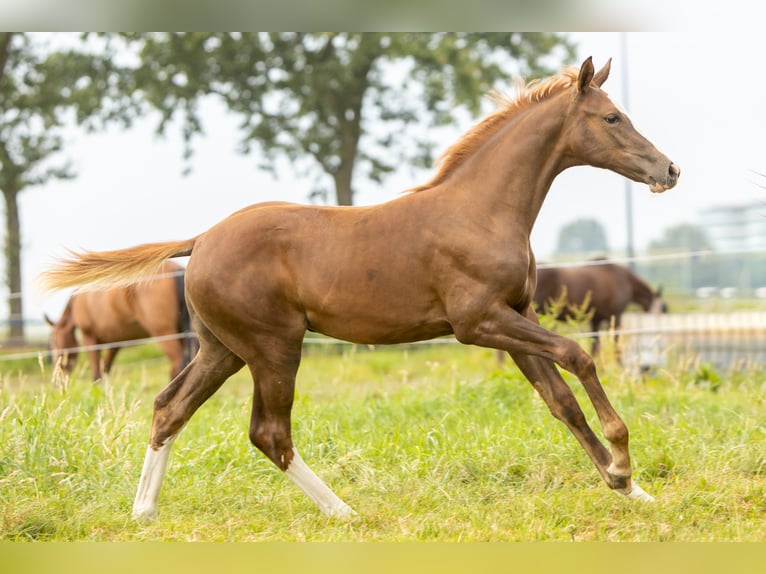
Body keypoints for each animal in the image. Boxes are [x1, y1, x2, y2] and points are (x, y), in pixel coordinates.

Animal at [45, 260, 198, 382]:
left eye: (53, 342)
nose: (58, 374)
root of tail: (176, 270)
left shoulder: (89, 338)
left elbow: (96, 374)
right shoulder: (115, 342)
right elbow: (105, 368)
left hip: (164, 333)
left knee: (178, 363)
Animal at [536, 262, 668, 354]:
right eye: (661, 312)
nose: (660, 333)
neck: (623, 280)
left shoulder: (596, 320)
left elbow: (595, 347)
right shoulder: (616, 316)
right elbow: (615, 344)